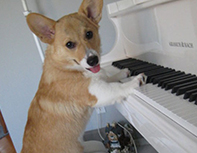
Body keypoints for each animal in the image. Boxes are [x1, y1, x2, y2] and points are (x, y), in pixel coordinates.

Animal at [21, 0, 146, 153]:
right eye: (69, 44)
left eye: (89, 34)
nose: (93, 60)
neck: (65, 67)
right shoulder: (98, 92)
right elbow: (118, 87)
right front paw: (135, 80)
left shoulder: (98, 81)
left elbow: (110, 77)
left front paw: (123, 72)